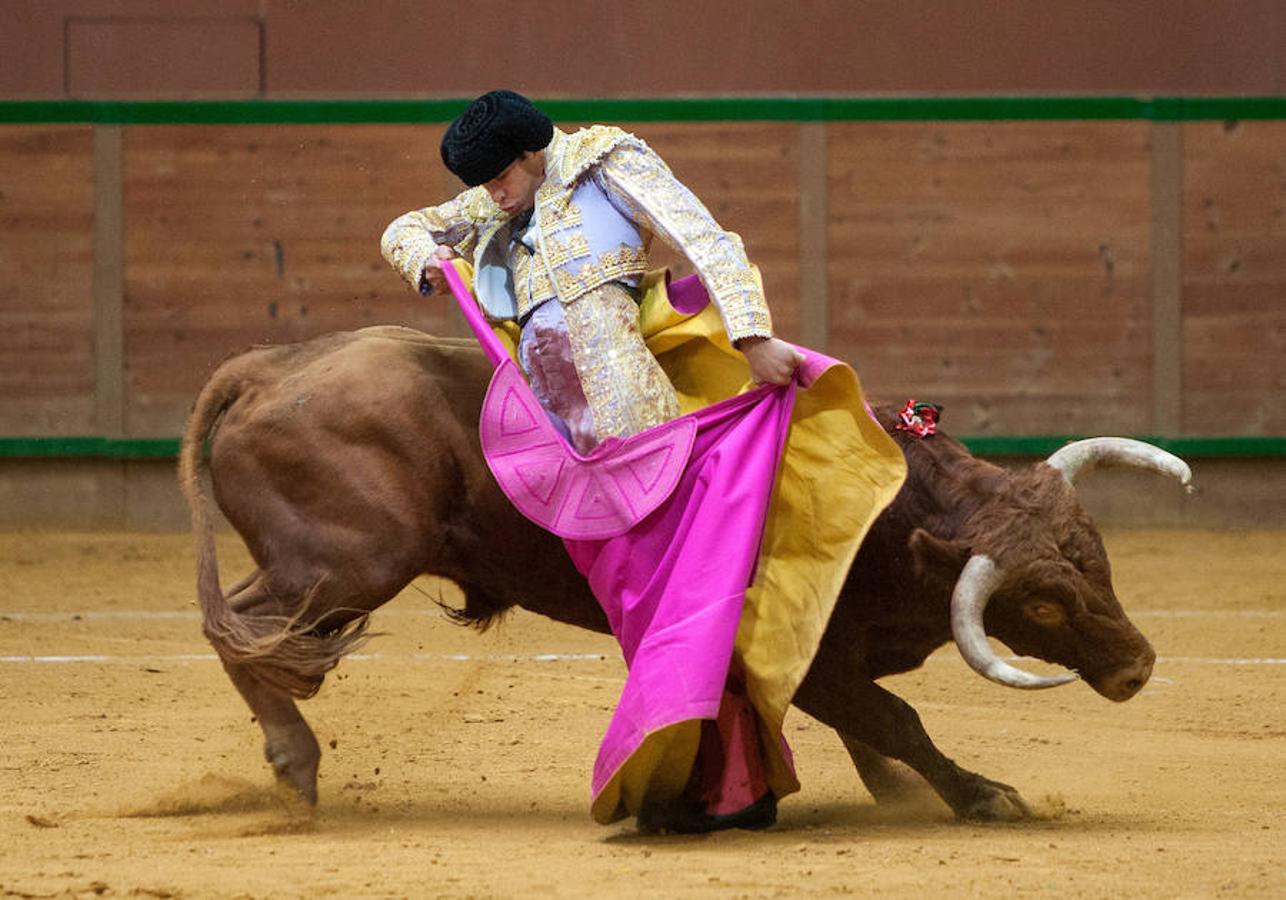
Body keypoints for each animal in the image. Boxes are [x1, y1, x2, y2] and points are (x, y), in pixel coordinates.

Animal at [176, 325, 1188, 822]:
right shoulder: (807, 659)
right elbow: (895, 719)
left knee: (248, 632)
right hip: (348, 561)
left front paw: (903, 796)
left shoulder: (827, 659)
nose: (1138, 668)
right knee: (240, 631)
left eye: (1095, 556)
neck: (889, 516)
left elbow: (875, 730)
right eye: (1042, 605)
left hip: (332, 569)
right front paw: (983, 797)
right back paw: (295, 767)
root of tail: (270, 367)